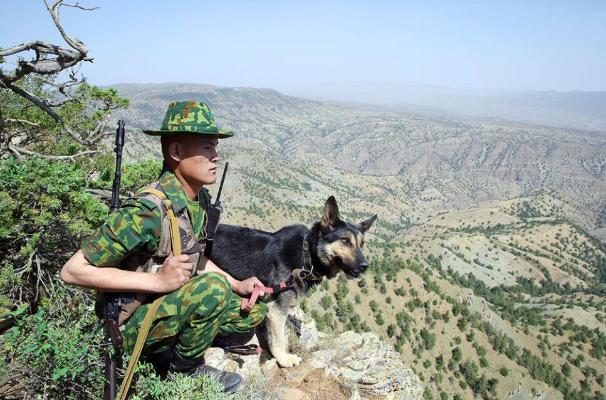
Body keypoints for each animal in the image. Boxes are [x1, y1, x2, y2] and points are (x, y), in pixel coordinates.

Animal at [211, 195, 378, 368]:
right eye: (345, 241)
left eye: (362, 244)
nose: (365, 266)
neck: (307, 256)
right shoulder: (276, 310)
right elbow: (278, 340)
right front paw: (284, 360)